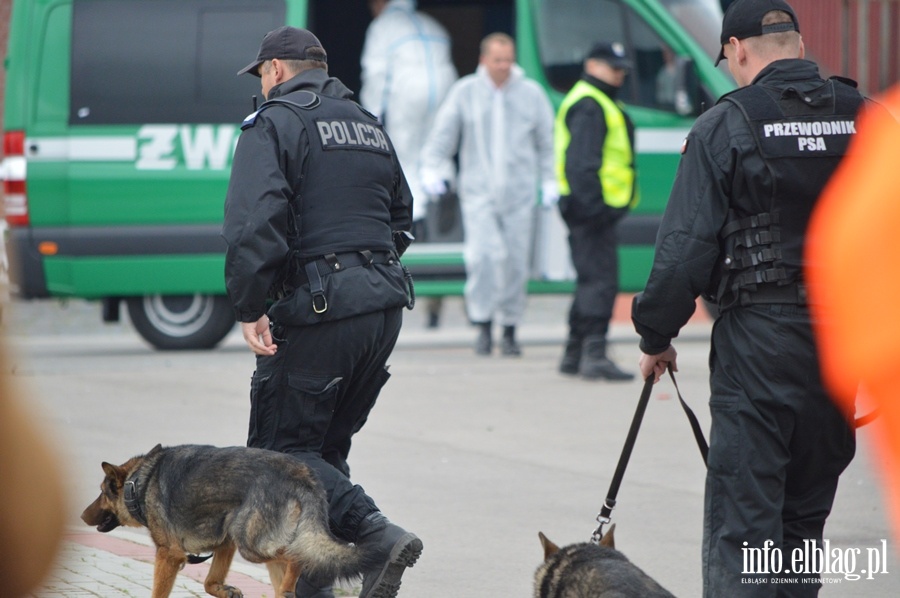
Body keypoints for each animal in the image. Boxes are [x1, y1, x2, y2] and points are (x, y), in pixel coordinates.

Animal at [81, 446, 380, 598]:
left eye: (102, 491)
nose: (82, 516)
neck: (139, 482)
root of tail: (301, 474)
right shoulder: (224, 545)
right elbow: (208, 582)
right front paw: (226, 591)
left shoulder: (169, 556)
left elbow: (159, 593)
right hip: (251, 542)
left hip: (252, 545)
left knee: (297, 557)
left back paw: (287, 587)